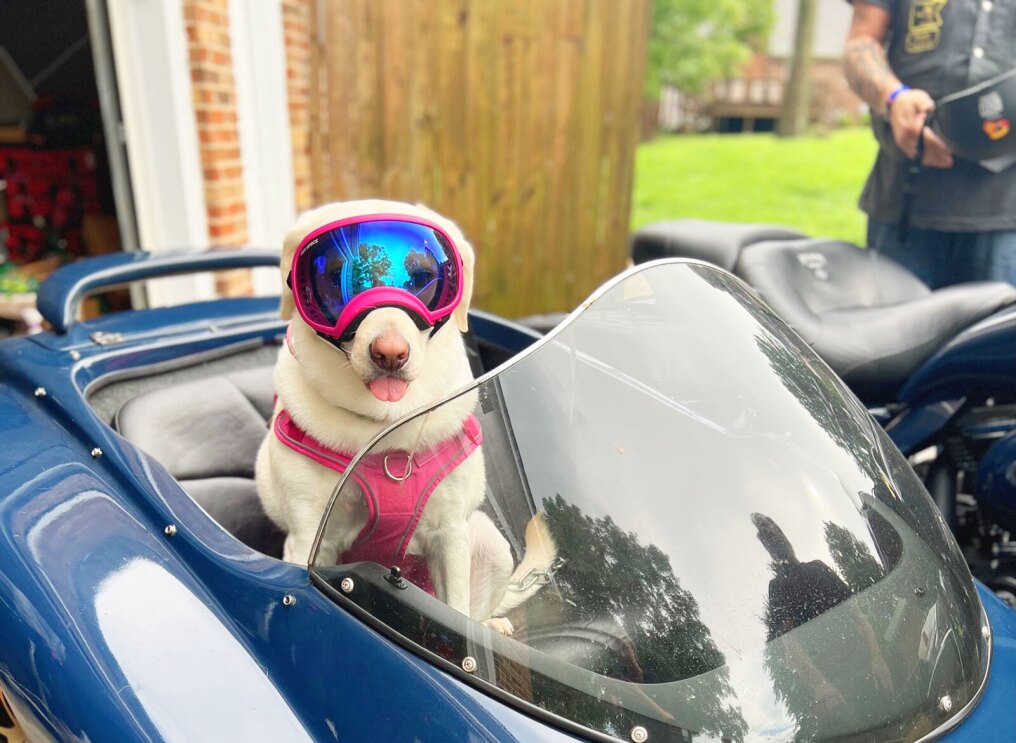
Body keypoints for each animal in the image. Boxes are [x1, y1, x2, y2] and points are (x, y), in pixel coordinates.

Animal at [254, 200, 556, 630]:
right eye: (334, 278)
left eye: (424, 278)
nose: (390, 353)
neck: (386, 431)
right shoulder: (310, 537)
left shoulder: (450, 533)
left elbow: (456, 614)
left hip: (489, 541)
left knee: (477, 612)